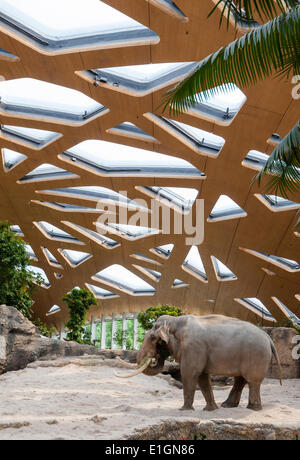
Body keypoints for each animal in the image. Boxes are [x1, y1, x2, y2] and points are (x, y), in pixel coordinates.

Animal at [116, 314, 282, 412]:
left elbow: (189, 374)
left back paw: (253, 409)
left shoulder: (193, 347)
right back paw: (227, 406)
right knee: (240, 380)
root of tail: (268, 337)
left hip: (256, 356)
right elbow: (202, 377)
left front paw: (183, 410)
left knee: (252, 381)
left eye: (152, 338)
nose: (155, 358)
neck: (175, 321)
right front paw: (210, 410)